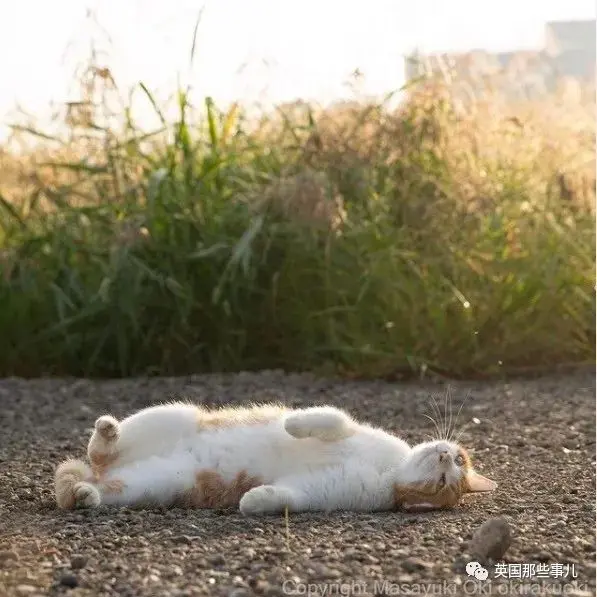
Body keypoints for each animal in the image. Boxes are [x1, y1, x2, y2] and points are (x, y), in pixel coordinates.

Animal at [56, 402, 496, 516]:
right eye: (457, 459)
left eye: (445, 482)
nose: (445, 453)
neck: (388, 471)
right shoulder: (350, 428)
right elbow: (330, 419)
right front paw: (293, 424)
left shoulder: (322, 493)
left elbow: (288, 497)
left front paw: (254, 500)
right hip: (171, 414)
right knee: (100, 450)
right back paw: (107, 433)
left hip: (154, 485)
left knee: (98, 480)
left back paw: (86, 495)